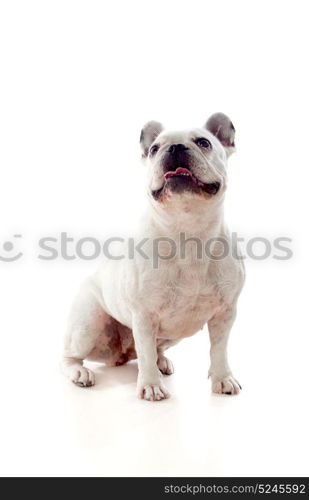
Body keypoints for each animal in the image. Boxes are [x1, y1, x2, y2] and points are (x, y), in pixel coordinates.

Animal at [60, 113, 243, 402]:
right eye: (155, 149)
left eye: (204, 142)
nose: (175, 147)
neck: (187, 231)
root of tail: (120, 356)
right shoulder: (144, 316)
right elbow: (145, 352)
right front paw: (150, 386)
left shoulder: (225, 313)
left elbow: (219, 350)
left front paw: (222, 378)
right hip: (87, 325)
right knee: (71, 356)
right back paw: (80, 372)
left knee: (154, 350)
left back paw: (162, 362)